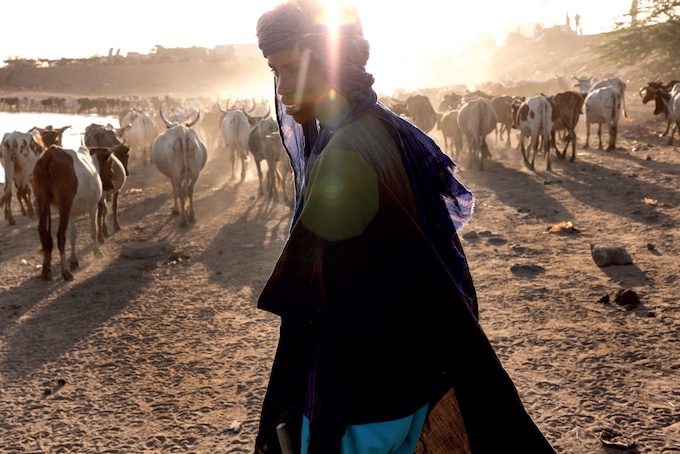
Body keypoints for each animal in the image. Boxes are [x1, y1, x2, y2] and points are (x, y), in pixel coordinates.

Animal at [32, 145, 103, 280]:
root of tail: (49, 154)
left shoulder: (71, 213)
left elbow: (73, 235)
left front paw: (74, 260)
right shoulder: (93, 206)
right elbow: (93, 230)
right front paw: (97, 253)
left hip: (42, 201)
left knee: (42, 231)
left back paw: (46, 269)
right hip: (64, 204)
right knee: (60, 235)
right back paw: (65, 272)